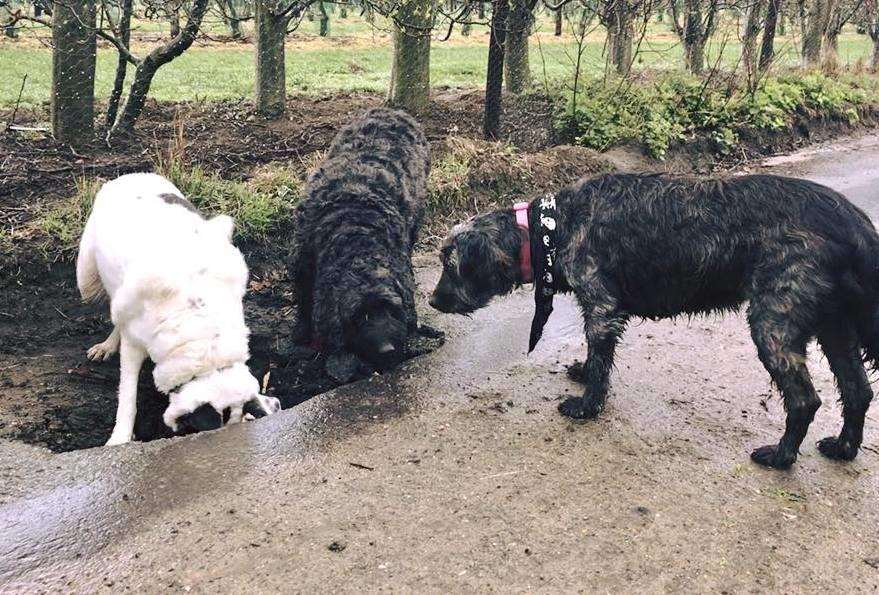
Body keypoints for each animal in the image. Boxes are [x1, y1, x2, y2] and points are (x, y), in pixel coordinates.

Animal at [78, 173, 280, 448]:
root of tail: (132, 175)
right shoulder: (133, 345)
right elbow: (127, 395)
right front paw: (120, 439)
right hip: (86, 275)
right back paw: (107, 345)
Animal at [292, 106, 430, 374]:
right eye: (360, 316)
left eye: (392, 310)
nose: (388, 350)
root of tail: (392, 110)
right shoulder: (302, 264)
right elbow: (303, 298)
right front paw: (302, 333)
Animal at [432, 172, 879, 470]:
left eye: (450, 266)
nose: (433, 301)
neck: (552, 228)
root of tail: (853, 221)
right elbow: (594, 358)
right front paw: (582, 374)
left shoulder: (602, 308)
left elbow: (600, 363)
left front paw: (587, 405)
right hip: (835, 327)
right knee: (858, 391)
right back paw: (843, 448)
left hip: (773, 324)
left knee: (806, 399)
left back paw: (781, 456)